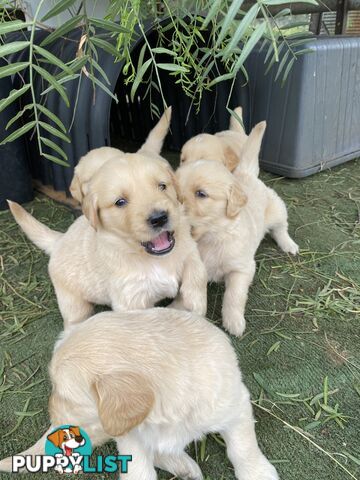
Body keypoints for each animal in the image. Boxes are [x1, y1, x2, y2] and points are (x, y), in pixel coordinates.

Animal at [0, 308, 280, 480]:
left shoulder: (235, 406)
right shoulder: (128, 436)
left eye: (66, 395)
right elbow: (139, 469)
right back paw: (183, 465)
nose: (52, 414)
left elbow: (243, 447)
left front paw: (258, 474)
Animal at [177, 123, 298, 338]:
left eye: (201, 194)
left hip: (277, 208)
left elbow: (234, 295)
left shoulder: (242, 268)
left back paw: (288, 244)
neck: (211, 237)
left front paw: (233, 321)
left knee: (281, 227)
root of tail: (245, 173)